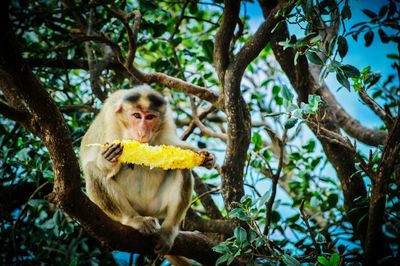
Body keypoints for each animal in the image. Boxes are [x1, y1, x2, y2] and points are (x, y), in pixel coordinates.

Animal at [79, 85, 214, 256]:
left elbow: (172, 146)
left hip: (156, 206)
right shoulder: (110, 118)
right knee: (92, 169)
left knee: (181, 169)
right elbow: (96, 161)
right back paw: (133, 219)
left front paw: (205, 156)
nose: (142, 132)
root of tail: (143, 211)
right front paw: (108, 158)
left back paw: (168, 231)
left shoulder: (166, 120)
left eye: (150, 117)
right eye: (136, 116)